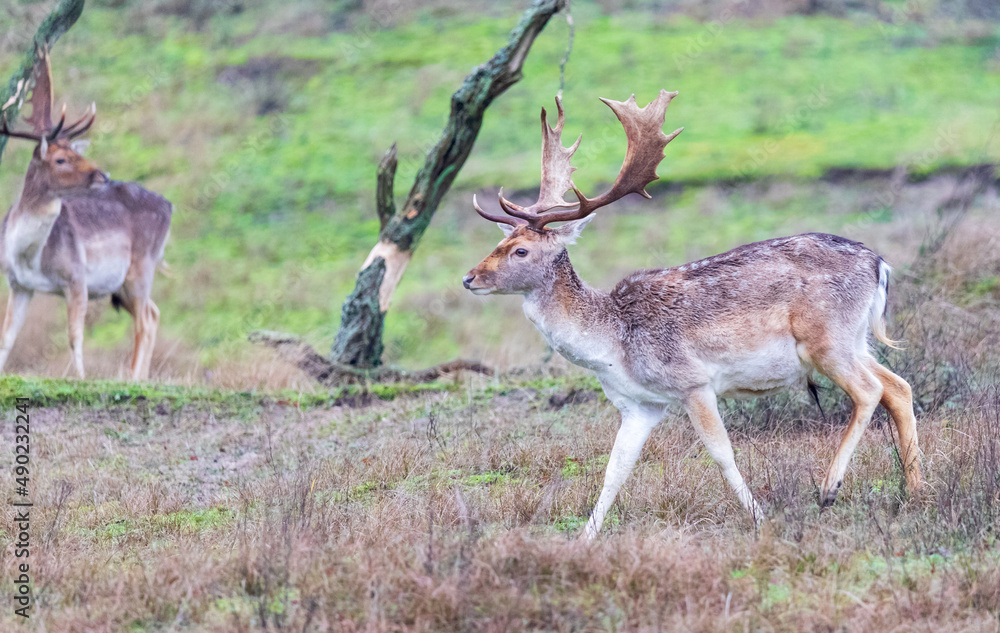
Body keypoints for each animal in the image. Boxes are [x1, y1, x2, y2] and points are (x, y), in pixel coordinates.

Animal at [0, 48, 172, 380]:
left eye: (75, 152)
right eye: (60, 159)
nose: (103, 174)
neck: (29, 256)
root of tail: (170, 206)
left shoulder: (77, 276)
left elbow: (74, 336)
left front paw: (81, 378)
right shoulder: (18, 284)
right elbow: (7, 337)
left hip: (141, 267)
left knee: (145, 320)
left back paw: (133, 378)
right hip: (121, 284)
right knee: (155, 313)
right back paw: (141, 376)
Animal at [464, 90, 924, 540]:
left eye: (521, 251)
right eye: (499, 241)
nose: (469, 277)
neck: (613, 345)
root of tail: (880, 265)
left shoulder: (694, 382)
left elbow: (722, 454)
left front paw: (761, 520)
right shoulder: (639, 405)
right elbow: (615, 470)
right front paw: (584, 540)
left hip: (825, 340)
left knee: (869, 391)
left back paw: (830, 489)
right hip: (856, 340)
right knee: (898, 386)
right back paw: (914, 490)